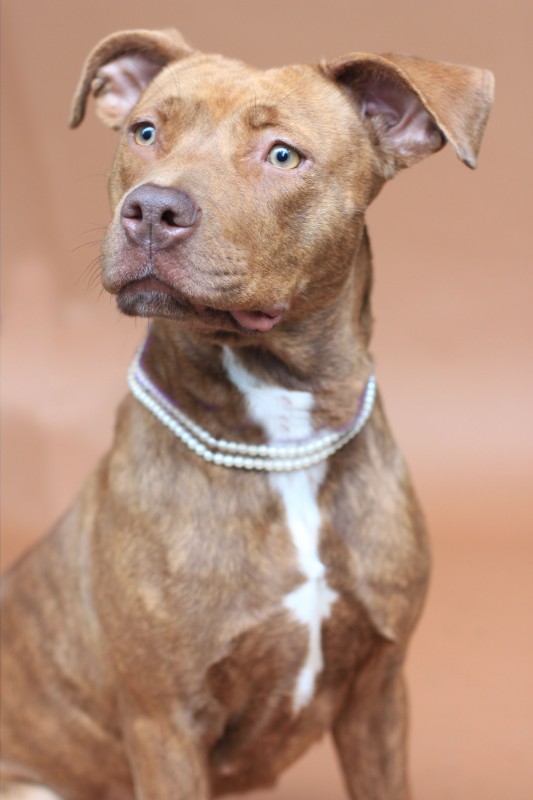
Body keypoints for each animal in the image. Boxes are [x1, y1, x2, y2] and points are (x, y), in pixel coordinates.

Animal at [1, 28, 493, 800]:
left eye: (282, 154)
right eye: (146, 132)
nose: (152, 210)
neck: (280, 436)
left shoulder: (379, 693)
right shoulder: (165, 723)